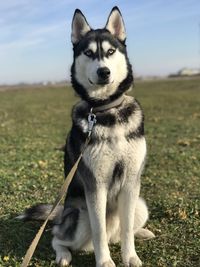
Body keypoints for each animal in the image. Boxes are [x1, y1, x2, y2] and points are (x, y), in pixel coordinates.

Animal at [19, 6, 155, 267]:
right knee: (57, 236)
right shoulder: (96, 184)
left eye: (111, 51)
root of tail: (61, 210)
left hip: (141, 205)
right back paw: (63, 255)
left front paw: (131, 257)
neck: (106, 111)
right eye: (89, 53)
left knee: (122, 231)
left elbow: (126, 231)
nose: (104, 71)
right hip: (78, 217)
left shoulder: (132, 181)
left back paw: (141, 232)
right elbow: (98, 229)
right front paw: (105, 262)